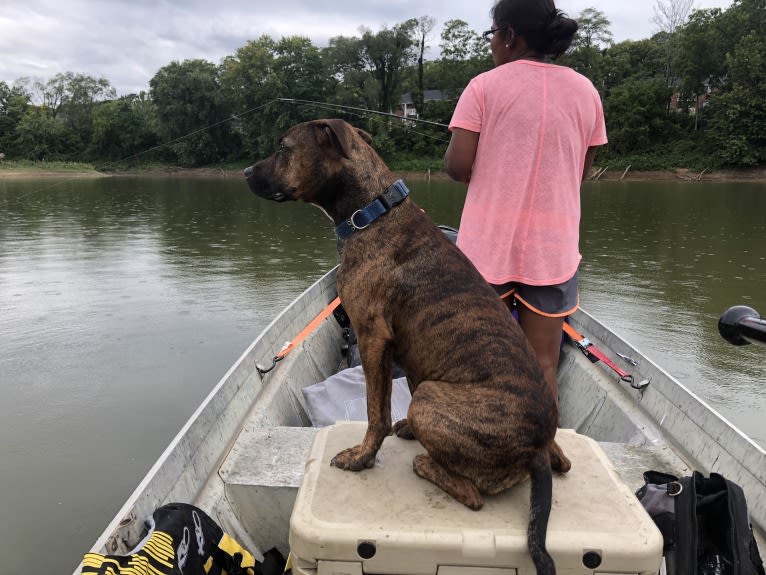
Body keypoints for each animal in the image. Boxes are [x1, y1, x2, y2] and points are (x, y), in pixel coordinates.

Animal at [246, 118, 568, 575]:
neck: (371, 213)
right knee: (562, 462)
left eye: (283, 147)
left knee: (472, 496)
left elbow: (374, 413)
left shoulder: (372, 338)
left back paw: (425, 462)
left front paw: (361, 458)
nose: (244, 172)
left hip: (433, 396)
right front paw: (403, 434)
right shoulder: (403, 356)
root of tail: (536, 451)